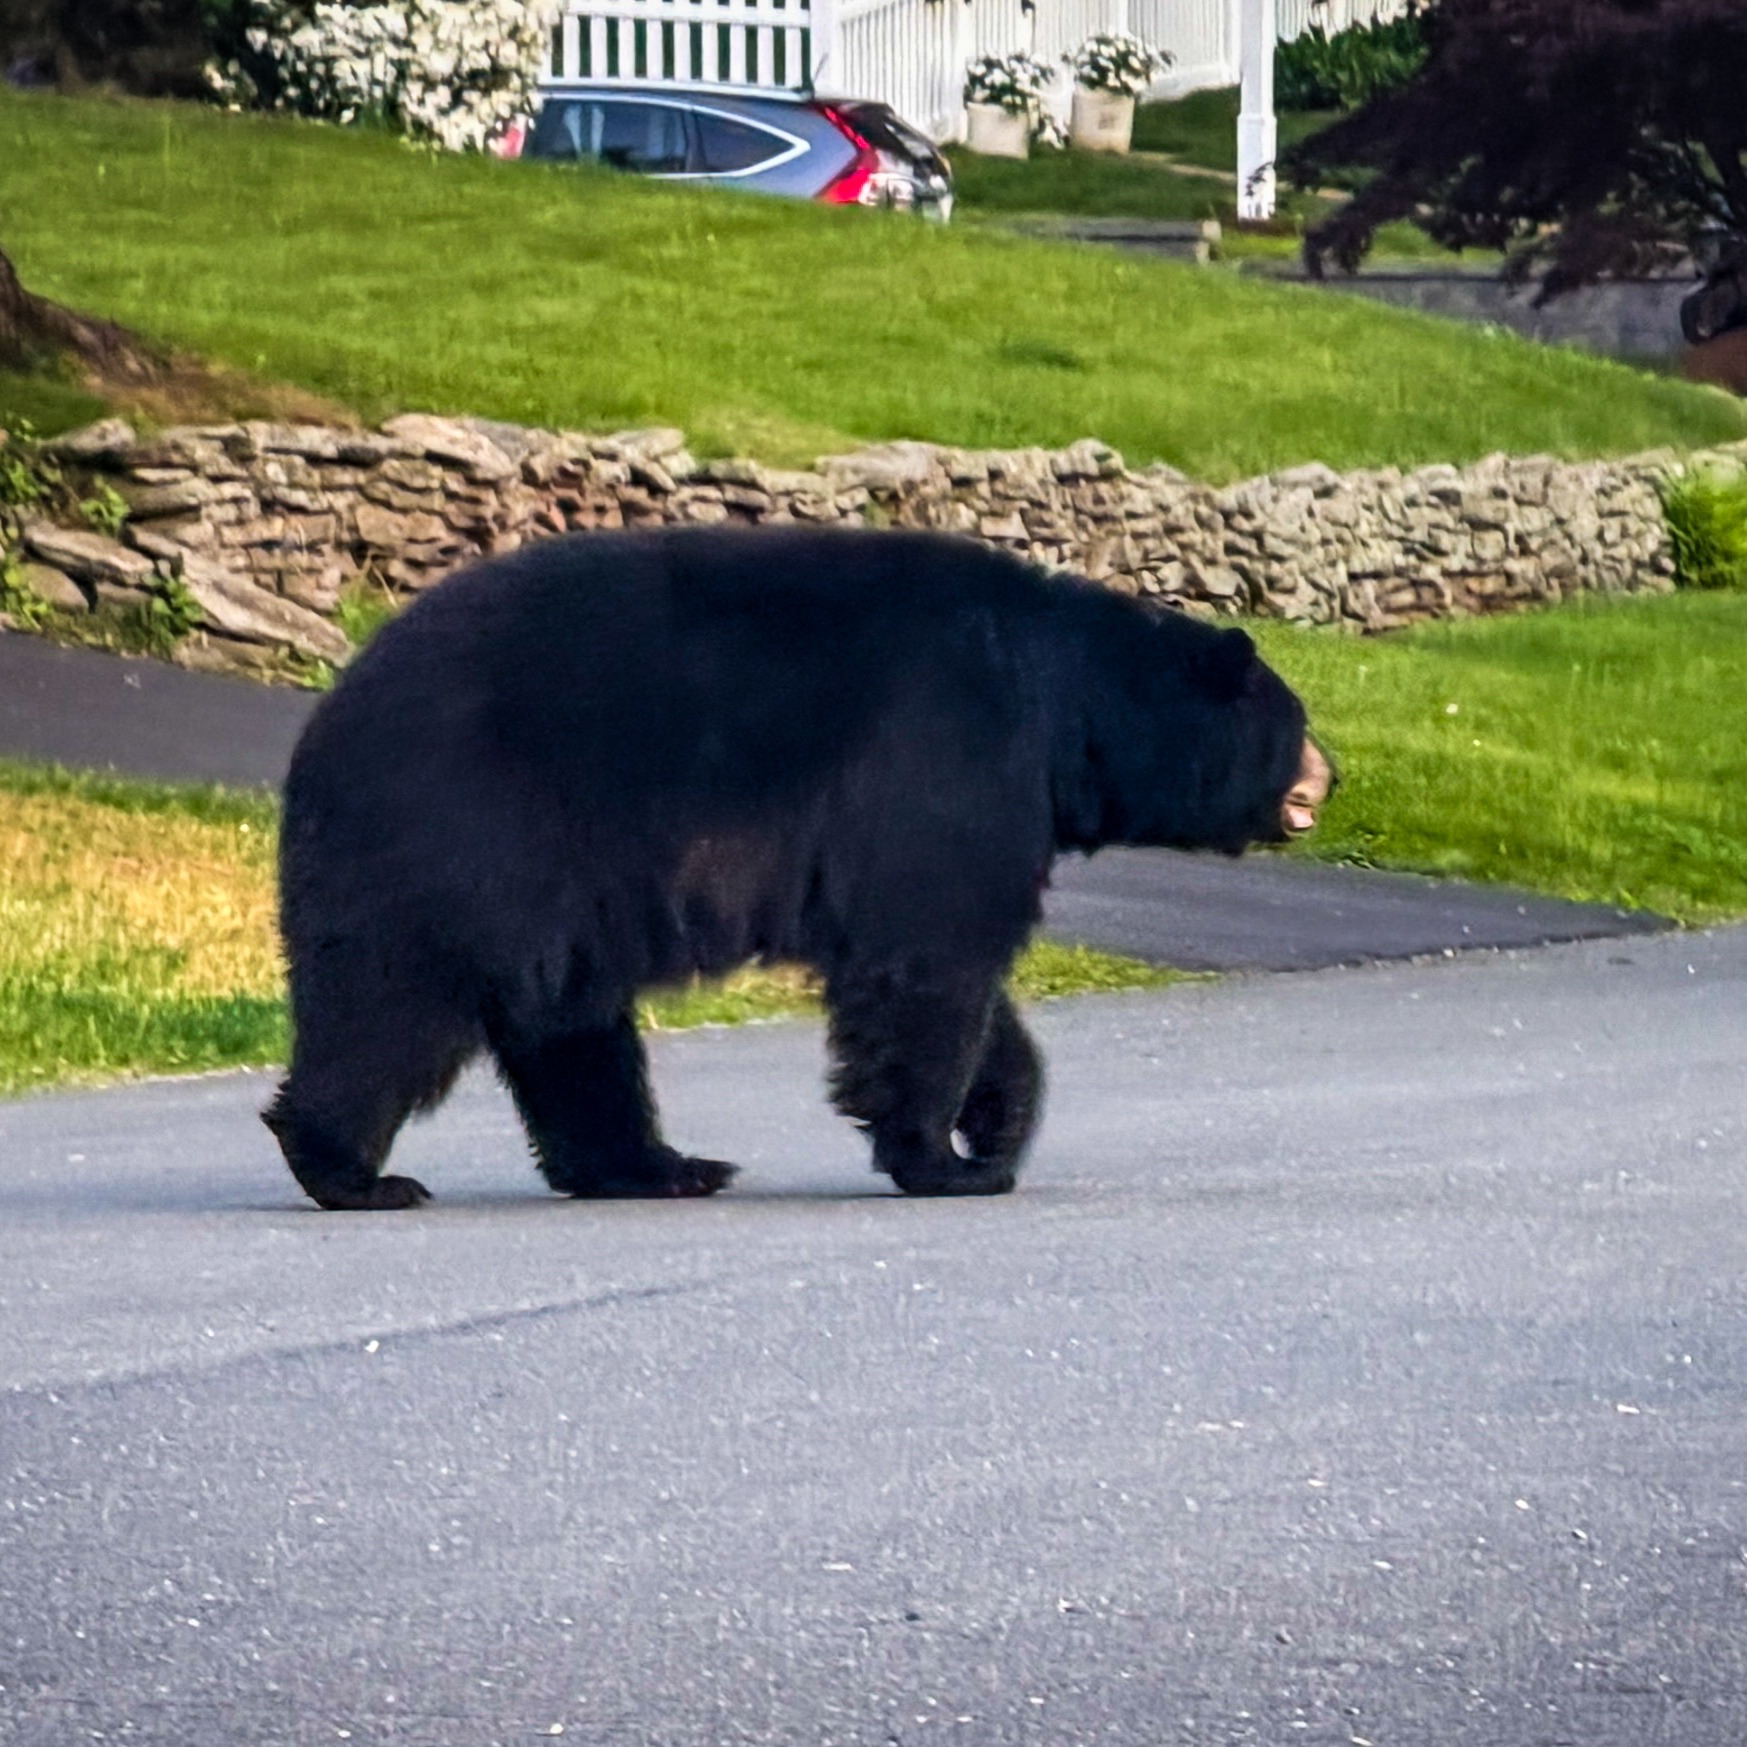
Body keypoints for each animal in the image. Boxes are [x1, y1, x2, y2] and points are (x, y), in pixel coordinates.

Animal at [263, 526, 1329, 1210]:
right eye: (1299, 721)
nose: (1334, 770)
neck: (1069, 707)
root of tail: (329, 713)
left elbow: (935, 968)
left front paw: (994, 1123)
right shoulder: (954, 752)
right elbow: (930, 958)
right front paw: (941, 1159)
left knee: (571, 1024)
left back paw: (657, 1165)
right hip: (460, 833)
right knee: (395, 1002)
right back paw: (350, 1169)